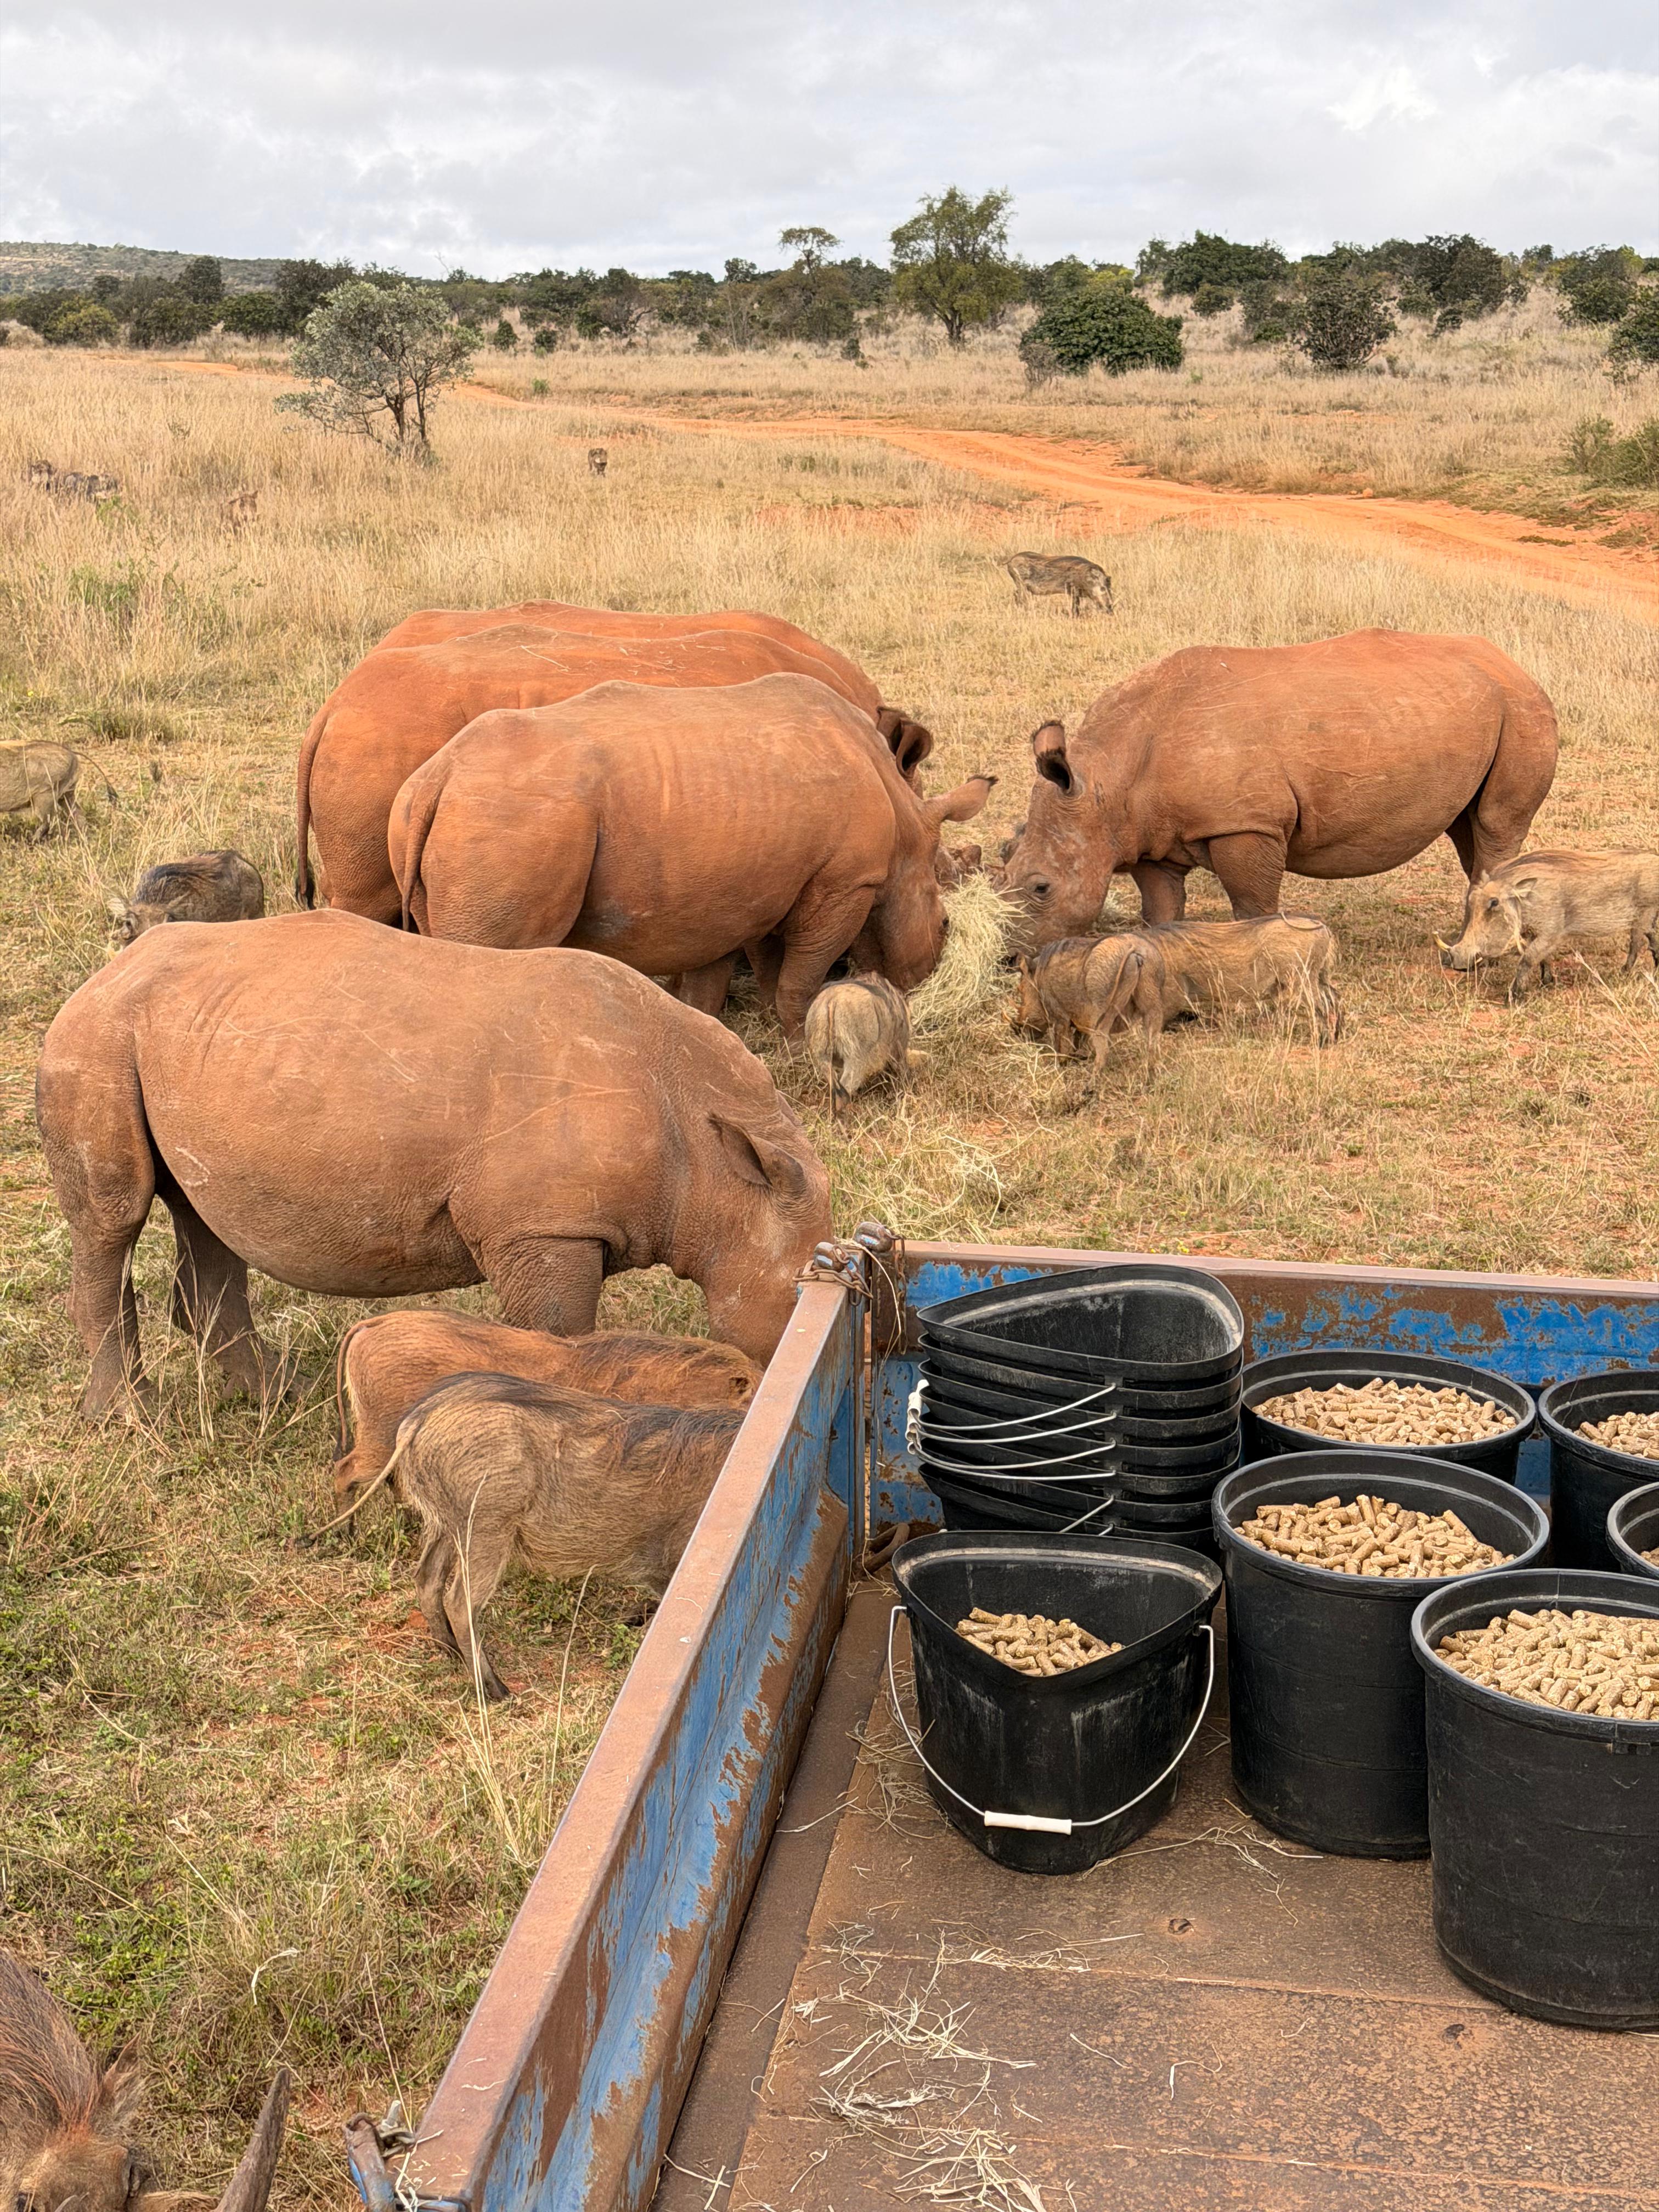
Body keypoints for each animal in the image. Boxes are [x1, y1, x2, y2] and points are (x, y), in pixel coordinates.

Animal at [35, 912, 830, 1419]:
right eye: (796, 1301)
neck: (722, 1165)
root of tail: (107, 971)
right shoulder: (542, 1228)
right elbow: (562, 1337)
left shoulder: (553, 1226)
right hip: (98, 1038)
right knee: (115, 1218)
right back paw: (130, 1421)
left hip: (179, 1042)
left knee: (201, 1212)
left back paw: (275, 1395)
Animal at [390, 674, 993, 1033]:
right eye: (945, 924)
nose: (925, 983)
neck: (908, 830)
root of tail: (441, 777)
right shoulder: (846, 882)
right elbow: (802, 972)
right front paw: (800, 1037)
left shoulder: (744, 891)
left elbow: (740, 970)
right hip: (514, 819)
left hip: (440, 814)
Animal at [1000, 630, 1557, 945]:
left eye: (1041, 888)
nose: (1010, 958)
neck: (1104, 783)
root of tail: (1517, 666)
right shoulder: (1147, 834)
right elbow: (1160, 911)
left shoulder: (1247, 825)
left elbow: (1252, 908)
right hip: (1469, 707)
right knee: (1467, 829)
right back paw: (1465, 935)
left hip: (1522, 709)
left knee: (1496, 825)